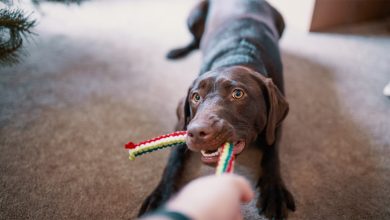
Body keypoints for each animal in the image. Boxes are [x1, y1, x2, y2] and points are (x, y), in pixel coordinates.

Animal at [139, 0, 294, 219]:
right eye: (196, 97)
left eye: (238, 93)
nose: (197, 132)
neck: (237, 56)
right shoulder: (183, 123)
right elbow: (174, 158)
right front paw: (160, 196)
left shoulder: (275, 124)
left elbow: (272, 153)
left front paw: (274, 191)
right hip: (194, 15)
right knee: (195, 41)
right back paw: (177, 50)